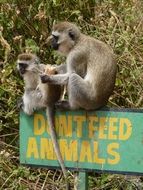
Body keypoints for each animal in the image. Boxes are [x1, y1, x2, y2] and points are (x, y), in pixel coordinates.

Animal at [16, 53, 69, 189]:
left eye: (23, 65)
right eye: (20, 64)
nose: (20, 70)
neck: (32, 69)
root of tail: (50, 101)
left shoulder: (32, 75)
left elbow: (31, 87)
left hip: (40, 99)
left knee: (29, 92)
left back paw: (26, 110)